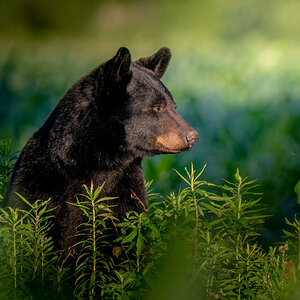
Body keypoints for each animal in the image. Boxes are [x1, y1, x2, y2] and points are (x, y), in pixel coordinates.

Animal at [4, 46, 199, 248]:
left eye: (174, 106)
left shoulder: (127, 190)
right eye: (157, 107)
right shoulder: (36, 185)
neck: (100, 163)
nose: (192, 136)